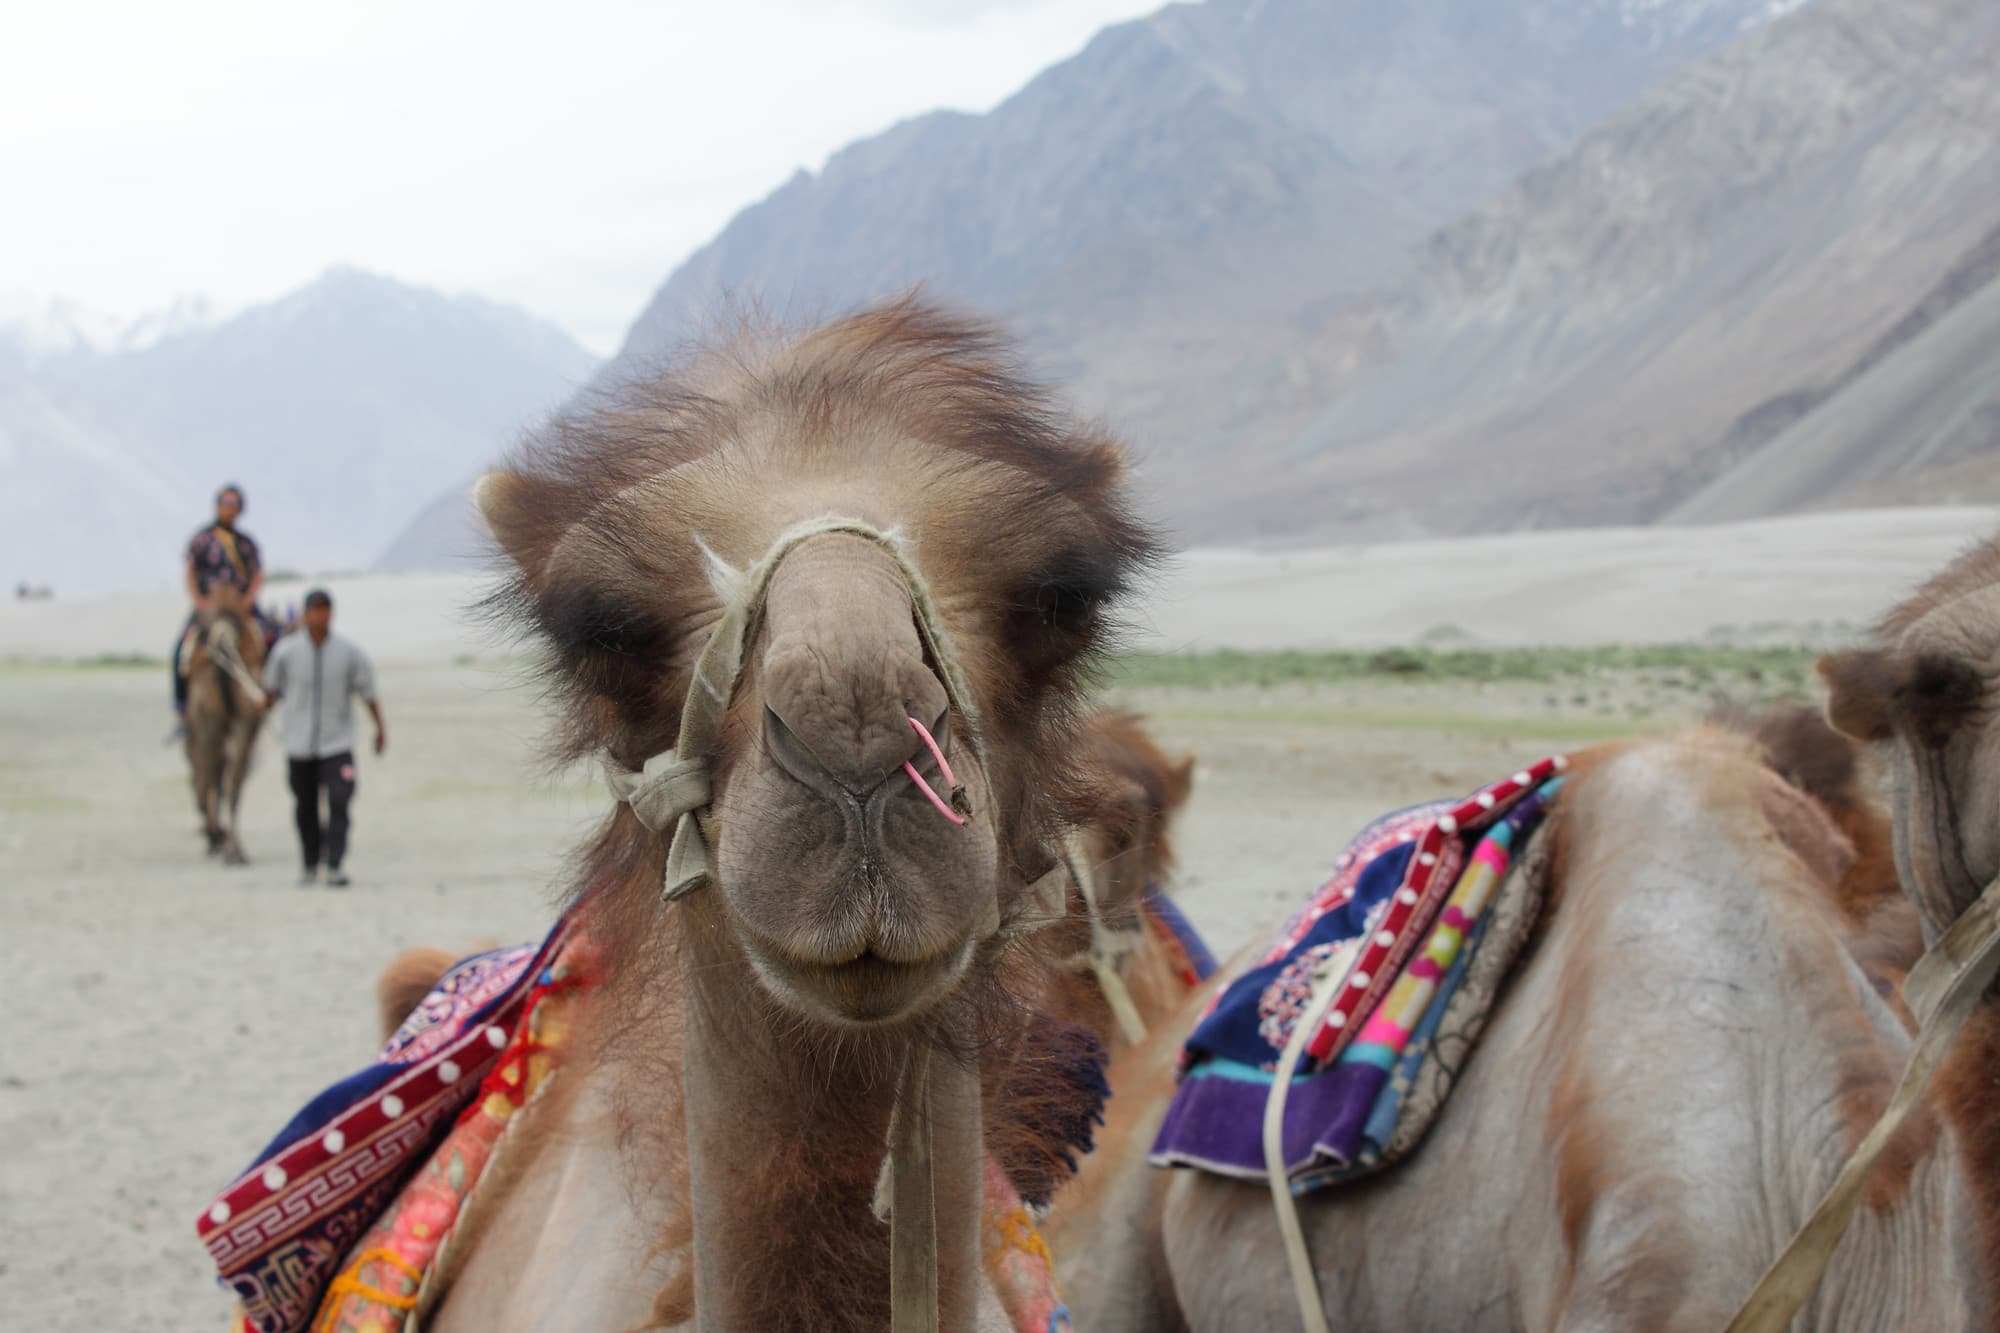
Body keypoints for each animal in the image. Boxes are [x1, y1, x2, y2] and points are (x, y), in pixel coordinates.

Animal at [184, 584, 267, 864]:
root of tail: (224, 632)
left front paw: (214, 837)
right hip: (235, 719)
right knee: (228, 777)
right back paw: (233, 848)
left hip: (210, 719)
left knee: (209, 775)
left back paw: (220, 840)